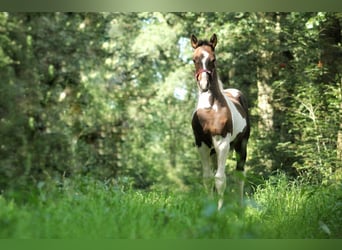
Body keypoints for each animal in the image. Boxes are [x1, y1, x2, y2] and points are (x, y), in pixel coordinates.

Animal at [191, 33, 250, 209]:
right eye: (194, 59)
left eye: (213, 59)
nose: (204, 84)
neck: (210, 109)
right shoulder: (201, 144)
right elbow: (208, 178)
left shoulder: (222, 143)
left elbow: (220, 179)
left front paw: (219, 210)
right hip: (212, 151)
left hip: (241, 145)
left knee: (239, 173)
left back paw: (240, 205)